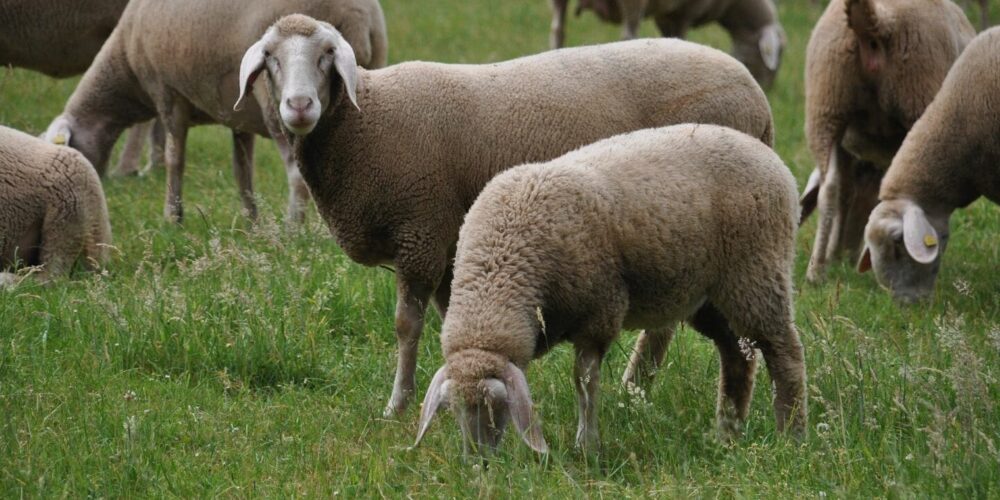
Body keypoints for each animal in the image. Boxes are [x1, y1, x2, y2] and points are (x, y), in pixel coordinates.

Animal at [42, 0, 388, 224]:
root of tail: (360, 15)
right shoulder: (239, 117)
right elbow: (241, 168)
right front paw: (251, 221)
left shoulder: (168, 93)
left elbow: (175, 159)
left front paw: (172, 216)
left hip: (277, 104)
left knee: (296, 172)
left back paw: (294, 229)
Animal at [235, 14, 776, 417]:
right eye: (271, 58)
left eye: (327, 55)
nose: (299, 105)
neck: (365, 120)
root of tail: (757, 94)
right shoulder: (448, 239)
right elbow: (449, 318)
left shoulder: (420, 230)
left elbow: (407, 326)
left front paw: (397, 406)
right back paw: (637, 389)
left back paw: (634, 387)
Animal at [411, 124, 805, 456]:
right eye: (453, 410)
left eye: (497, 407)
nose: (477, 463)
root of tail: (771, 159)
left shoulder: (599, 312)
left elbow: (584, 381)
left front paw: (587, 447)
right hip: (708, 296)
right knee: (737, 355)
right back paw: (726, 433)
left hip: (756, 274)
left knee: (784, 353)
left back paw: (790, 436)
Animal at [548, 0, 787, 89]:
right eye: (778, 55)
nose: (768, 89)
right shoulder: (684, 11)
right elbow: (680, 37)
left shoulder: (666, 15)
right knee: (628, 35)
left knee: (557, 30)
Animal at [800, 0, 974, 283]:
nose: (847, 256)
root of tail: (881, 21)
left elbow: (845, 194)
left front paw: (836, 256)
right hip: (917, 100)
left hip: (826, 103)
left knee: (829, 188)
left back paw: (816, 271)